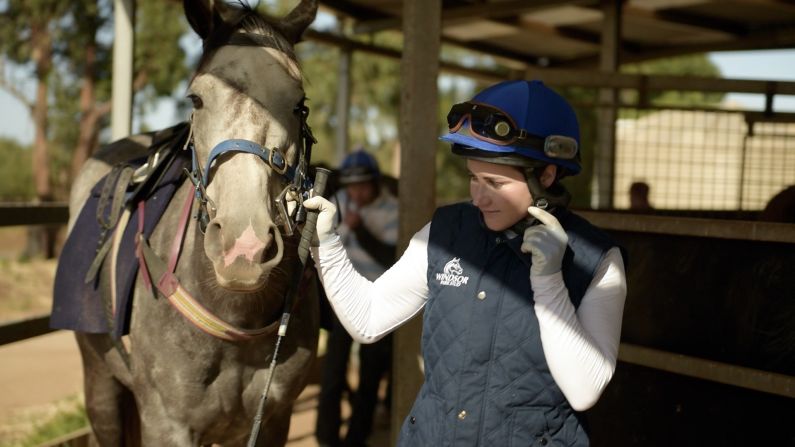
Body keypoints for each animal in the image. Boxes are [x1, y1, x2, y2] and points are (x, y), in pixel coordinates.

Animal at [66, 1, 320, 446]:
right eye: (197, 98)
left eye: (299, 103)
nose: (244, 248)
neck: (236, 317)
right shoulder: (166, 424)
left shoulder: (271, 419)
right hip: (100, 384)